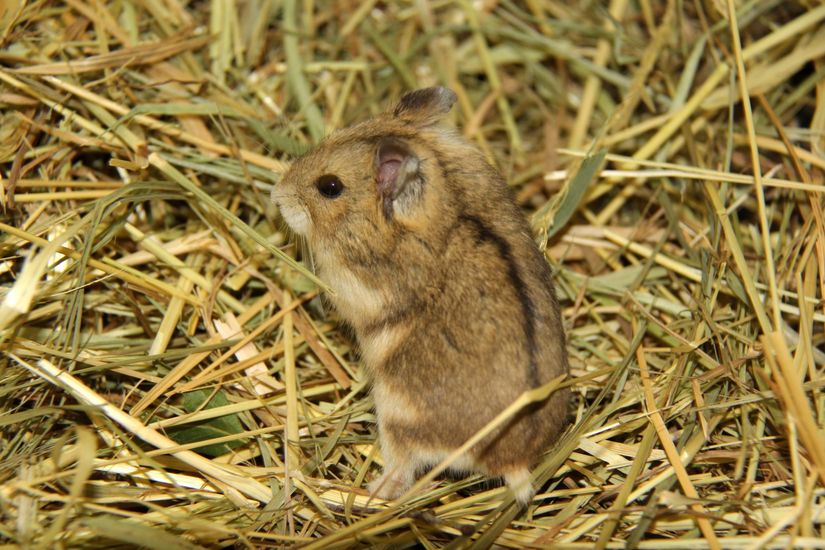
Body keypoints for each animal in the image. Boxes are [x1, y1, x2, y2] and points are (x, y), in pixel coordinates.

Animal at [274, 86, 568, 504]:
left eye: (329, 186)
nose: (276, 195)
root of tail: (513, 460)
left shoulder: (357, 289)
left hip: (395, 416)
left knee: (403, 468)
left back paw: (371, 489)